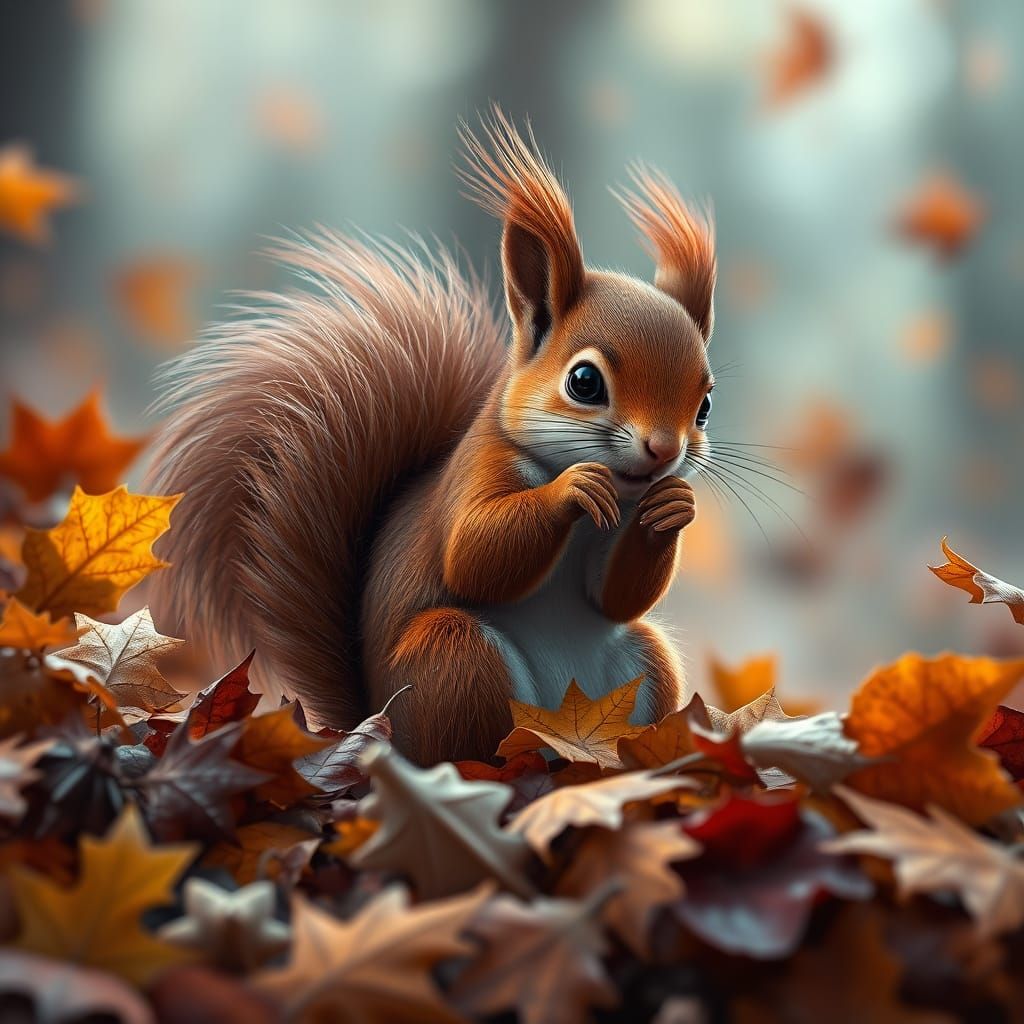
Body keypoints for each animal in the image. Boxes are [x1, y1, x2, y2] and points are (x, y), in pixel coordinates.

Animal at [147, 110, 717, 765]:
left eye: (705, 405)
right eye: (584, 381)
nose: (664, 452)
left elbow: (614, 598)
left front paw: (673, 508)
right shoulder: (478, 471)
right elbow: (472, 554)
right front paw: (572, 489)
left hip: (644, 661)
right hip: (455, 658)